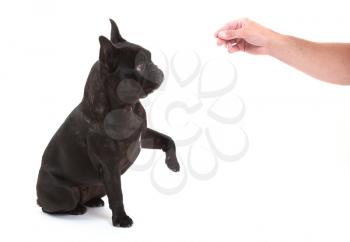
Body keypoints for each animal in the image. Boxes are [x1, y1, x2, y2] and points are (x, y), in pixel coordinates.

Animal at [37, 18, 180, 227]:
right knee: (51, 207)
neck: (127, 107)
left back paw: (93, 201)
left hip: (99, 185)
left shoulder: (143, 135)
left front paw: (173, 164)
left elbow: (168, 139)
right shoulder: (110, 167)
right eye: (140, 66)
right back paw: (77, 209)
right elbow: (117, 194)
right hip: (65, 194)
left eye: (150, 59)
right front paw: (121, 219)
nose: (157, 68)